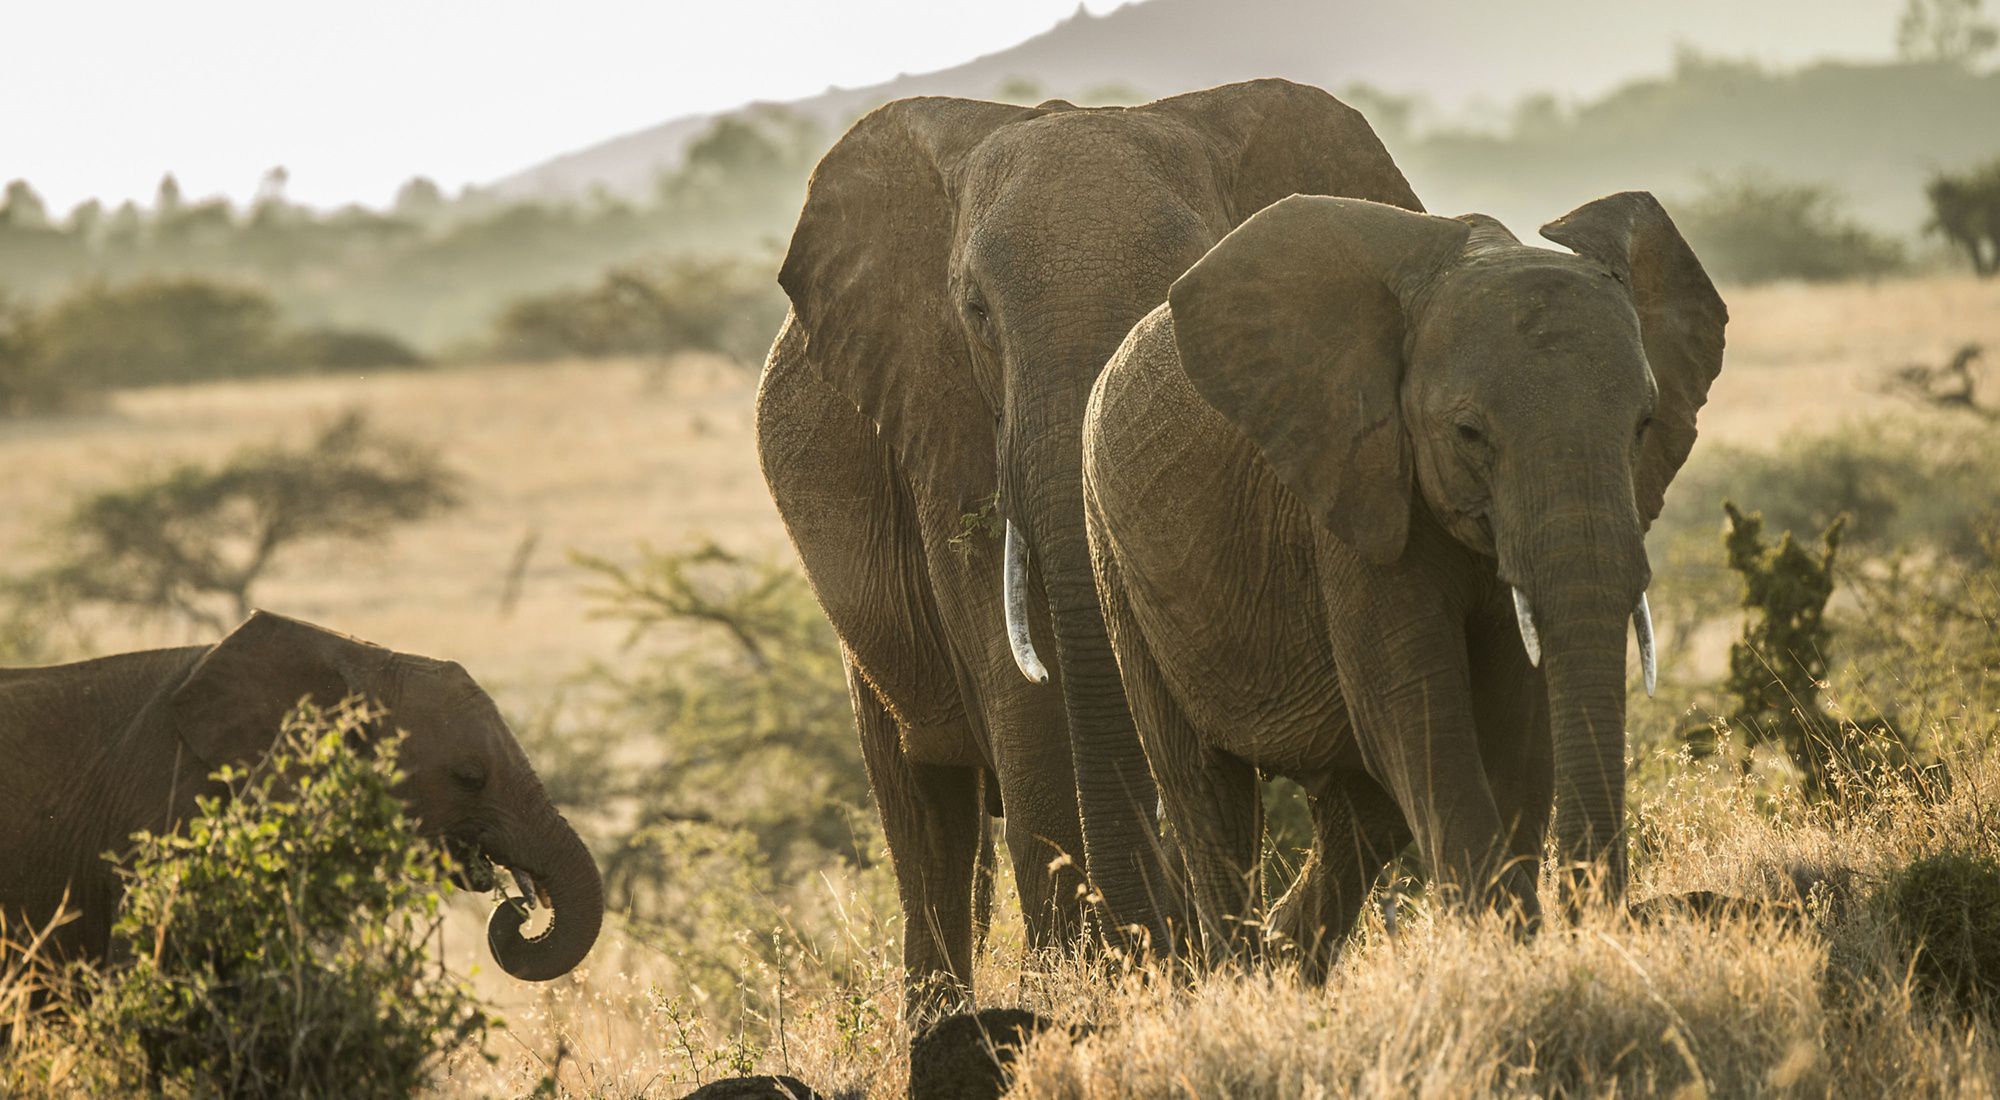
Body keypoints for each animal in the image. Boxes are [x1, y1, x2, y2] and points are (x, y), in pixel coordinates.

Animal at [755, 78, 1427, 1009]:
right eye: (974, 313)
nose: (1157, 948)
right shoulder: (943, 423)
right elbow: (1023, 692)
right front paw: (1083, 986)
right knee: (924, 811)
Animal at [1082, 192, 1726, 969]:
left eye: (1644, 425)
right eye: (1469, 433)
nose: (1596, 929)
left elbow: (1517, 725)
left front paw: (1513, 943)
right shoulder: (1352, 486)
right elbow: (1414, 704)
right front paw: (1504, 946)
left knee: (1358, 814)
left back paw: (1289, 961)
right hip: (1116, 561)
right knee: (1204, 789)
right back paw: (1248, 975)